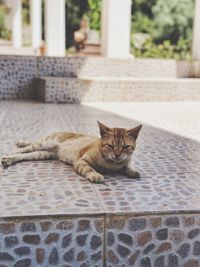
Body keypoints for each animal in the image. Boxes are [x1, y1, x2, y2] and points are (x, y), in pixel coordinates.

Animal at [1, 122, 142, 183]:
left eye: (125, 147)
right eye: (110, 146)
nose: (117, 155)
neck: (111, 164)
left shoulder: (126, 160)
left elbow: (128, 164)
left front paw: (132, 170)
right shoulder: (82, 161)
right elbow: (89, 169)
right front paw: (96, 175)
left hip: (43, 154)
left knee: (25, 155)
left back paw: (8, 160)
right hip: (45, 143)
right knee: (25, 148)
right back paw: (9, 153)